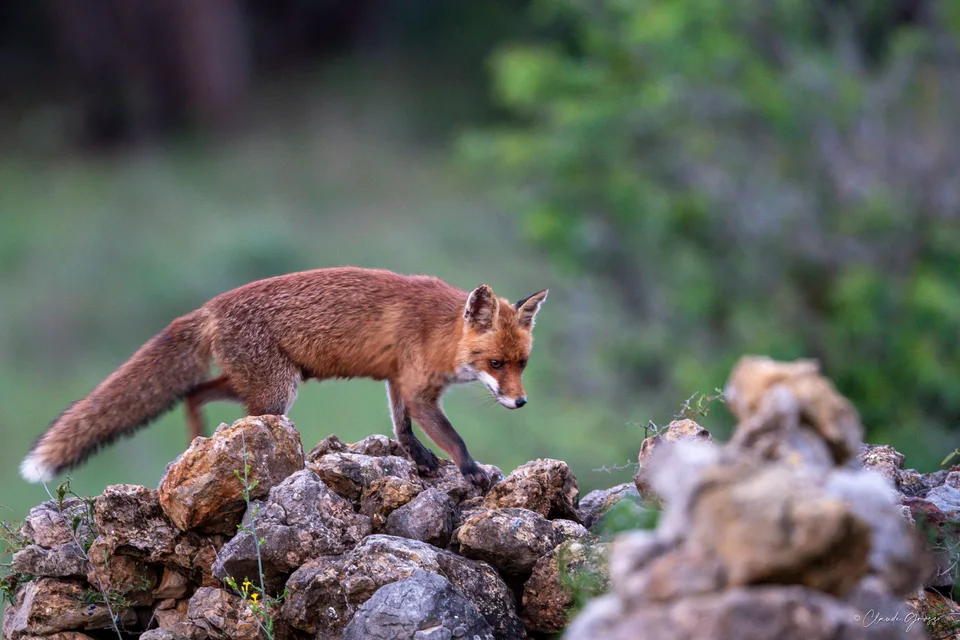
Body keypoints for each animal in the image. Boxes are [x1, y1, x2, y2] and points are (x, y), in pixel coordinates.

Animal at [20, 267, 548, 488]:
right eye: (495, 365)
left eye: (522, 363)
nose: (522, 403)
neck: (439, 330)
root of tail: (210, 307)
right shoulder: (420, 391)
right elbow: (454, 438)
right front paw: (472, 472)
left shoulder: (399, 381)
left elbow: (402, 428)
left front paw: (418, 458)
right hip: (277, 393)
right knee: (222, 408)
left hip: (260, 382)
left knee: (193, 393)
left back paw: (195, 445)